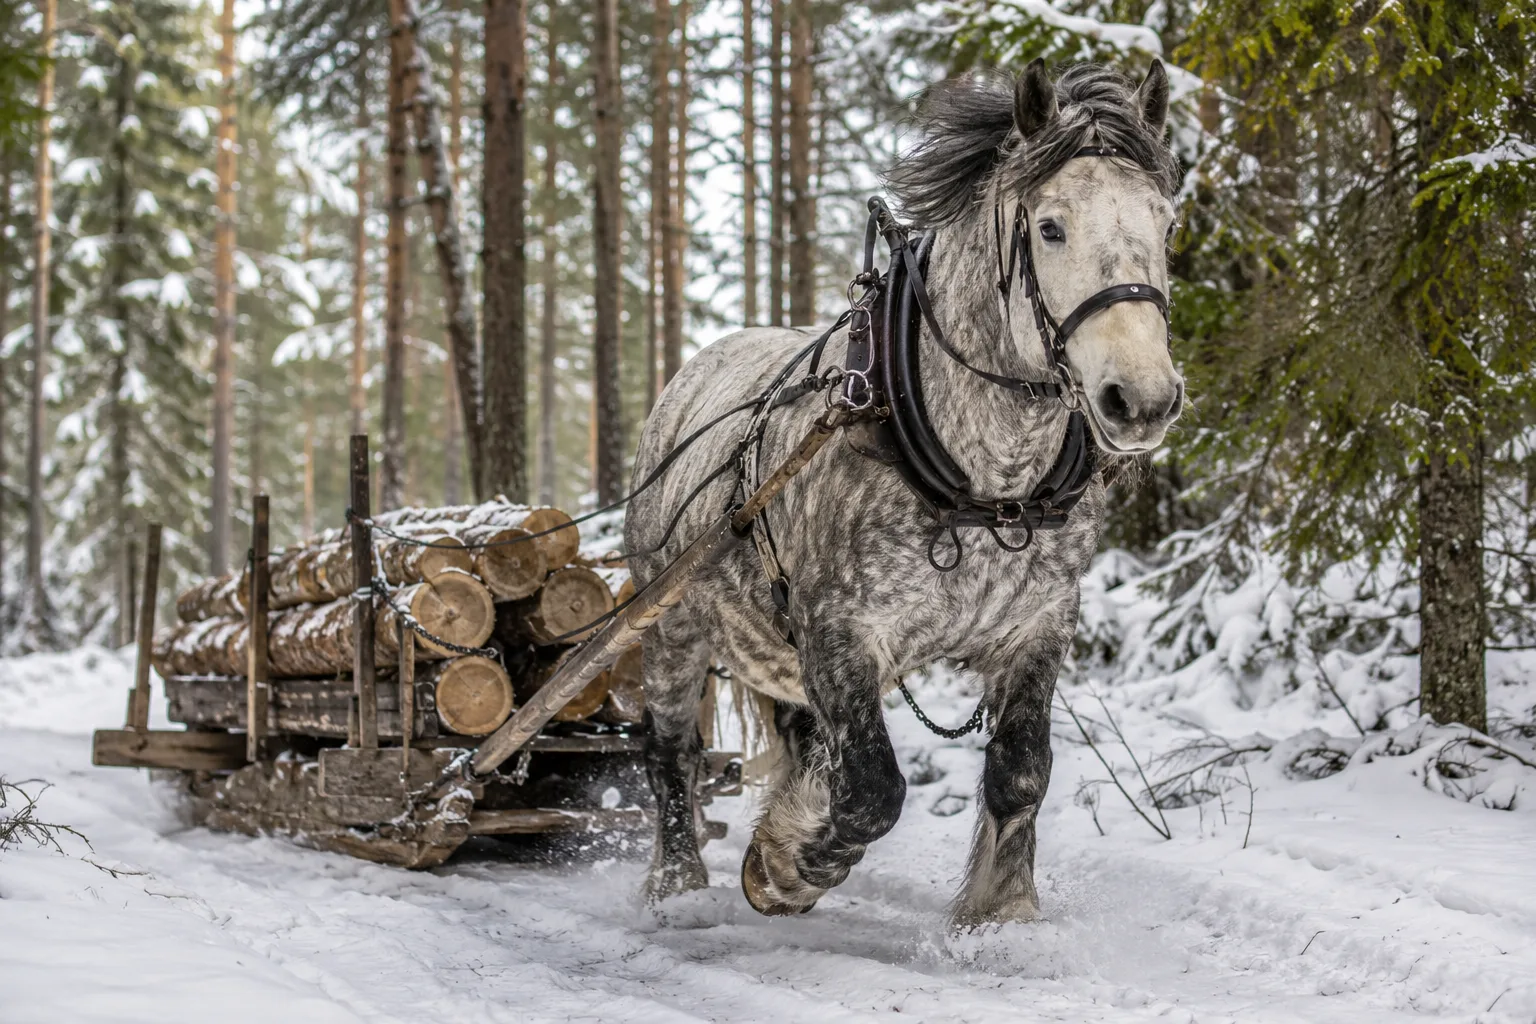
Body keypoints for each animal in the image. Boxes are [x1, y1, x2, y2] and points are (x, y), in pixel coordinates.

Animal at [624, 59, 1184, 926]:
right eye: (1051, 227)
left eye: (1165, 223)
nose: (1143, 399)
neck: (989, 488)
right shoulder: (840, 630)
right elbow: (871, 792)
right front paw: (781, 868)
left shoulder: (1040, 626)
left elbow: (1021, 770)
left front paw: (999, 914)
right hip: (672, 626)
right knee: (671, 752)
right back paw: (676, 885)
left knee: (793, 737)